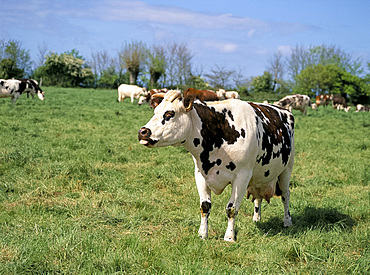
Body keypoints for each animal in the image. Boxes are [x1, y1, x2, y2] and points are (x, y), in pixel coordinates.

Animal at [138, 90, 294, 242]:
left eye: (169, 113)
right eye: (155, 112)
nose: (142, 132)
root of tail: (285, 111)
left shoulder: (242, 176)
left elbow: (231, 208)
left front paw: (229, 236)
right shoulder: (200, 174)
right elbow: (205, 206)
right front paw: (202, 234)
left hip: (287, 168)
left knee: (285, 195)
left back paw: (287, 221)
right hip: (259, 177)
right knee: (258, 197)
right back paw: (256, 218)